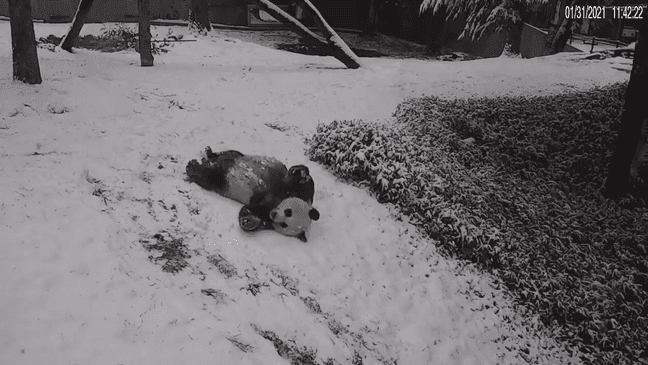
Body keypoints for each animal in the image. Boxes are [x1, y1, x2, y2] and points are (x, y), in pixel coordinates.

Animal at [186, 145, 320, 242]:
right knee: (230, 154)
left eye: (284, 224)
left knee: (209, 177)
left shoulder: (265, 210)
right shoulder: (298, 190)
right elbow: (304, 179)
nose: (274, 215)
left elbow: (250, 210)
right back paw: (207, 154)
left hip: (219, 182)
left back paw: (194, 167)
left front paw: (248, 222)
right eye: (288, 211)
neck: (280, 199)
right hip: (236, 156)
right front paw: (299, 172)